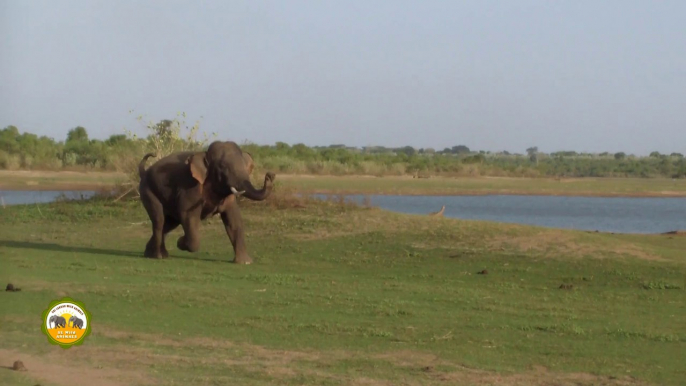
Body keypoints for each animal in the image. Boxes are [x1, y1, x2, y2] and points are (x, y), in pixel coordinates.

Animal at [137, 140, 276, 264]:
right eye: (223, 167)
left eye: (245, 166)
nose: (270, 175)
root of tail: (144, 172)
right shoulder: (190, 187)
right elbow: (188, 215)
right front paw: (180, 242)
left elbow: (234, 220)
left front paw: (245, 262)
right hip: (147, 191)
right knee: (159, 220)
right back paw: (157, 256)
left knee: (169, 224)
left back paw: (154, 254)